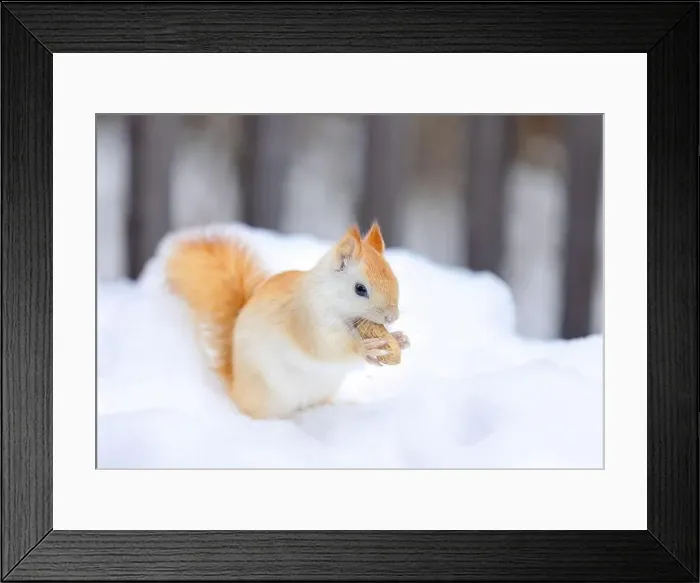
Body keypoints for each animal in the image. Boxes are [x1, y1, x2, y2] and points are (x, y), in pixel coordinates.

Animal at [165, 222, 410, 420]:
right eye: (360, 289)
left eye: (395, 278)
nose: (392, 317)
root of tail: (235, 389)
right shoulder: (305, 320)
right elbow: (327, 349)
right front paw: (365, 347)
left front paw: (400, 339)